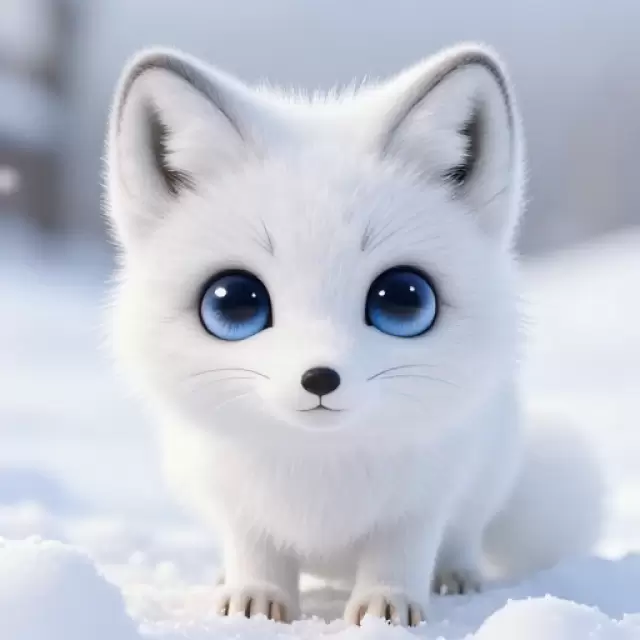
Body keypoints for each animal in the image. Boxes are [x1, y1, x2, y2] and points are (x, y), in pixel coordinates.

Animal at [105, 43, 603, 626]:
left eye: (404, 298)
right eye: (234, 302)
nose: (319, 378)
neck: (322, 472)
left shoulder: (424, 498)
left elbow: (399, 554)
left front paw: (388, 608)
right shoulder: (236, 500)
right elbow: (256, 551)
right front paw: (253, 603)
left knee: (462, 539)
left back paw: (457, 577)